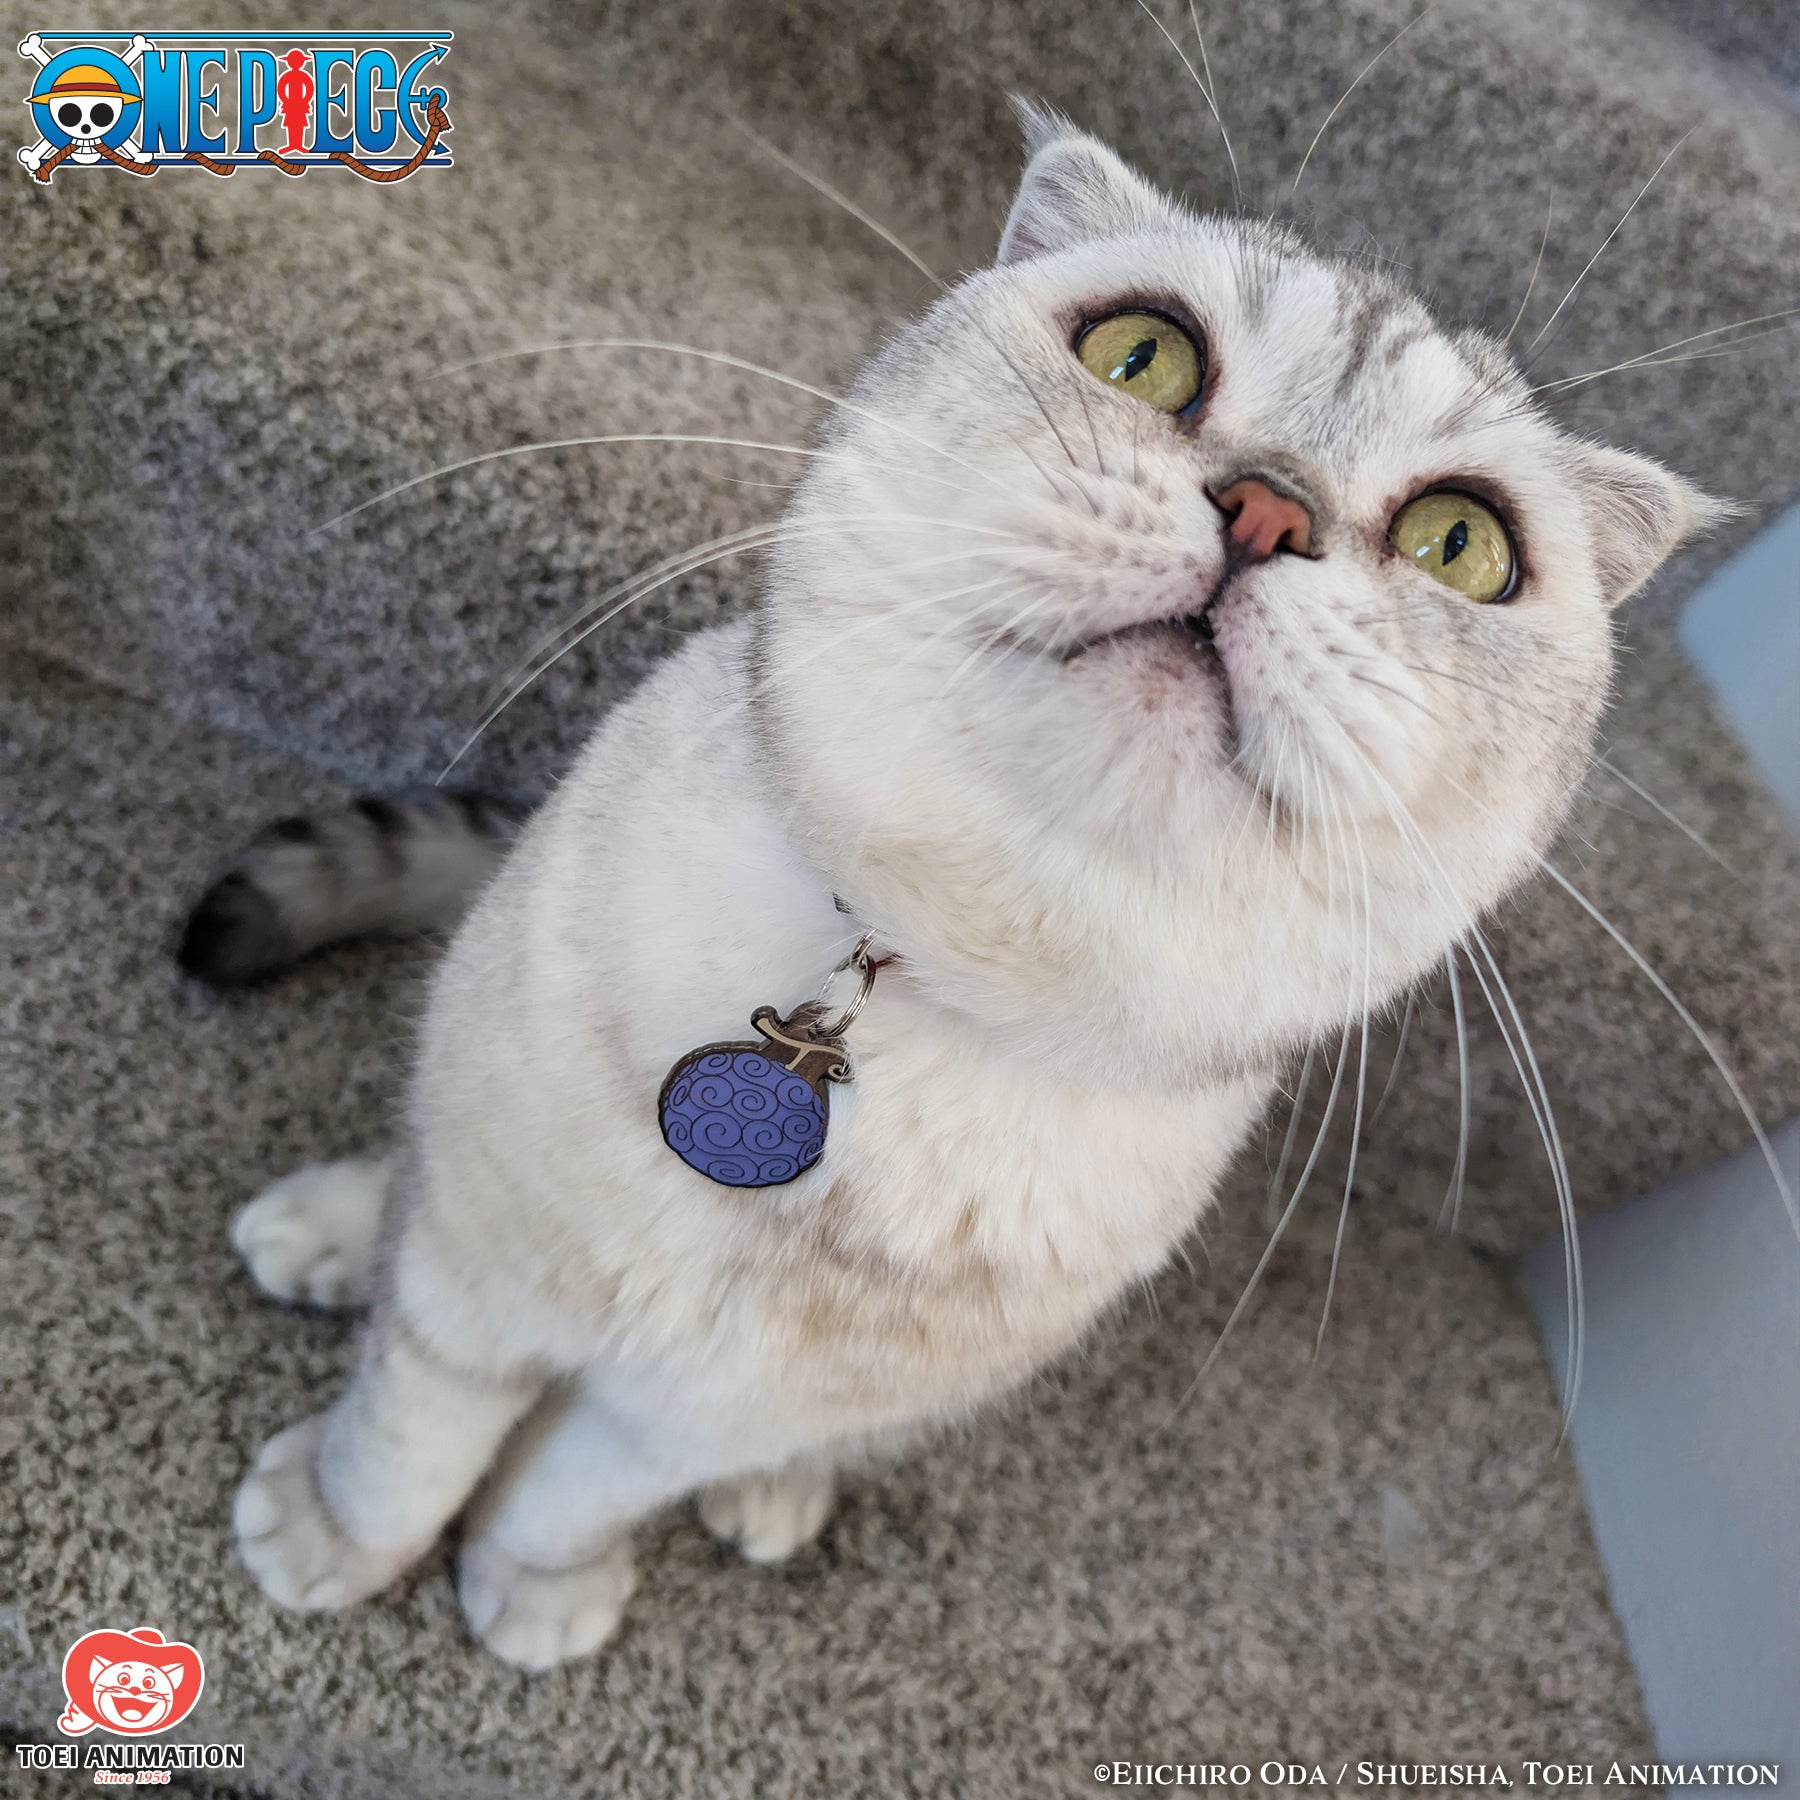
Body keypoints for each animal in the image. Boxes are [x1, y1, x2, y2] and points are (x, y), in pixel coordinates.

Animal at [193, 105, 1713, 1663]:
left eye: (1461, 544)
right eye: (1142, 355)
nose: (1269, 510)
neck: (930, 984)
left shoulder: (697, 1414)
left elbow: (574, 1486)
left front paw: (536, 1581)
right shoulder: (483, 1279)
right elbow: (412, 1433)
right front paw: (336, 1536)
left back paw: (768, 1501)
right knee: (413, 1174)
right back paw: (330, 1227)